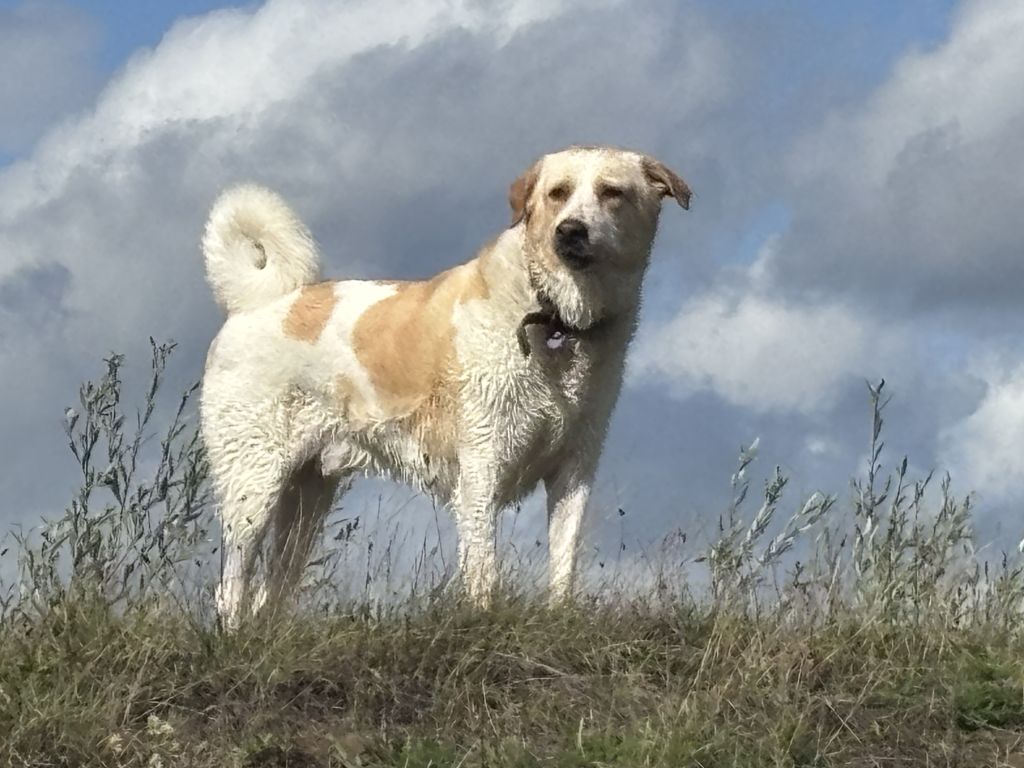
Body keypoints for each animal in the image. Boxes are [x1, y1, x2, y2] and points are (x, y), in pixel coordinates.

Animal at [200, 145, 690, 626]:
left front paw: (561, 617)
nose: (570, 230)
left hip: (306, 499)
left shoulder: (575, 469)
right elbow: (484, 570)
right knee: (232, 589)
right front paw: (484, 623)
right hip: (253, 487)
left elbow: (563, 562)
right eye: (558, 193)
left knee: (270, 592)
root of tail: (256, 304)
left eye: (612, 193)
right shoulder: (481, 470)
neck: (553, 317)